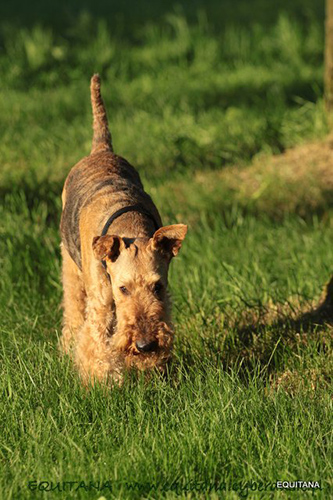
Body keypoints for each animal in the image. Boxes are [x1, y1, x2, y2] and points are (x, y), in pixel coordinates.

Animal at [59, 74, 187, 382]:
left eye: (158, 286)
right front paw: (102, 382)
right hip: (70, 266)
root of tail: (101, 149)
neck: (129, 227)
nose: (145, 345)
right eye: (123, 288)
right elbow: (95, 344)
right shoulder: (101, 303)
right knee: (73, 309)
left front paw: (149, 369)